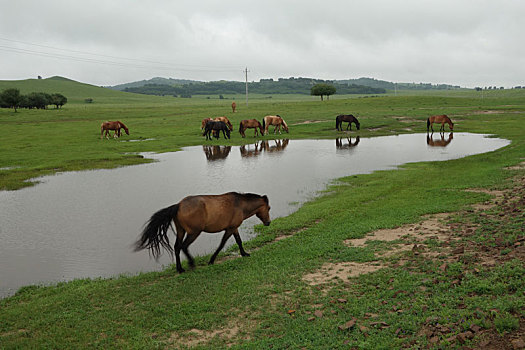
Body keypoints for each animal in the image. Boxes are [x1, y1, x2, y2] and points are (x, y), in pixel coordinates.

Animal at [133, 191, 272, 274]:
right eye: (269, 208)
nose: (268, 222)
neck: (241, 205)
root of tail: (178, 205)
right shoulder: (230, 229)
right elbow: (222, 244)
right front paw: (211, 260)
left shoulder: (234, 228)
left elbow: (239, 241)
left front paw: (244, 253)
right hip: (194, 232)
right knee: (184, 246)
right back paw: (191, 263)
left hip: (181, 231)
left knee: (177, 247)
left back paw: (180, 269)